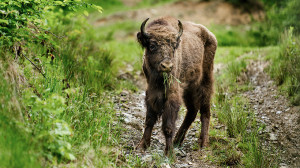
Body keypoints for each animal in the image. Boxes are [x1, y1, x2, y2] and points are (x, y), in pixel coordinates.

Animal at [137, 16, 218, 156]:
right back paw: (177, 140)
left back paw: (203, 143)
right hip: (188, 88)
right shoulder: (151, 92)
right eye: (152, 45)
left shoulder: (173, 93)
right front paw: (142, 145)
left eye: (174, 46)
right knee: (192, 111)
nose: (167, 66)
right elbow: (149, 120)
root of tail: (210, 35)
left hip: (205, 82)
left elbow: (168, 125)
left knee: (205, 111)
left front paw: (169, 153)